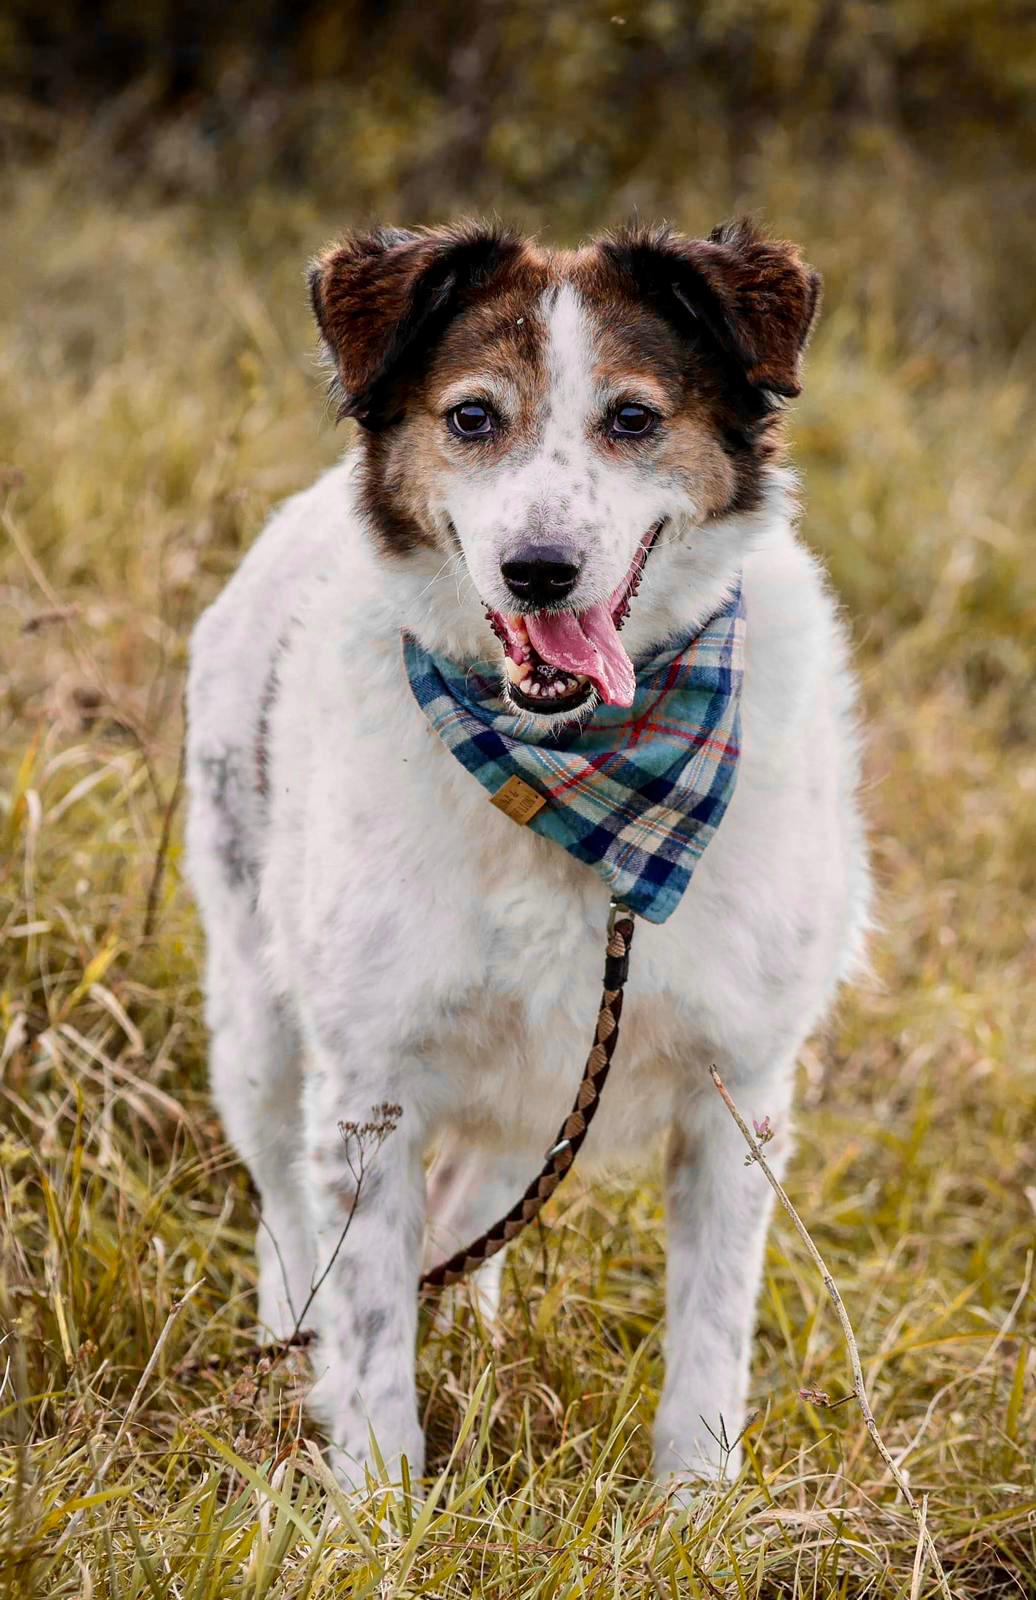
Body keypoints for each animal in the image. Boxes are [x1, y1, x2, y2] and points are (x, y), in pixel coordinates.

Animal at [183, 219, 863, 1491]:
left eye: (633, 417)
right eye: (471, 417)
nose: (538, 568)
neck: (585, 772)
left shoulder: (737, 1090)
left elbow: (710, 1336)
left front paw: (693, 1504)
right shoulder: (370, 1085)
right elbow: (366, 1323)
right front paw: (378, 1499)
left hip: (540, 1088)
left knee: (466, 1210)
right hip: (257, 1023)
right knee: (289, 1218)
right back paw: (287, 1348)